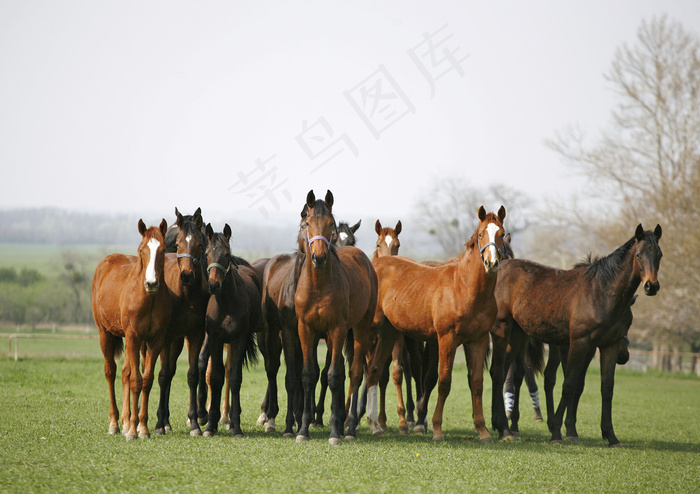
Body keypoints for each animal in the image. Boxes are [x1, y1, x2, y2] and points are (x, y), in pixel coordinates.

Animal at [93, 219, 171, 440]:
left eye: (163, 249)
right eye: (142, 250)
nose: (151, 283)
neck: (147, 298)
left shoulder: (155, 340)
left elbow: (146, 380)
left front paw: (141, 427)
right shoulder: (134, 337)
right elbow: (136, 380)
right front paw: (134, 431)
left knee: (125, 372)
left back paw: (127, 422)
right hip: (105, 334)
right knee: (111, 372)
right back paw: (115, 423)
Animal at [200, 223, 260, 437]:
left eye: (226, 254)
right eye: (207, 253)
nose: (213, 284)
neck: (225, 304)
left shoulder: (238, 339)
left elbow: (234, 379)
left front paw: (236, 426)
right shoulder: (216, 339)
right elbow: (215, 377)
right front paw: (210, 425)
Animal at [294, 190, 378, 445]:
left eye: (330, 224)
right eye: (306, 224)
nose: (319, 257)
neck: (319, 286)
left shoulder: (337, 329)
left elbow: (333, 375)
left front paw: (334, 431)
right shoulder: (306, 329)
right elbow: (309, 374)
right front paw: (303, 429)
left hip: (360, 329)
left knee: (355, 373)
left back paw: (348, 428)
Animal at [365, 206, 507, 442]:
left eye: (502, 234)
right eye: (480, 234)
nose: (491, 263)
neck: (464, 287)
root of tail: (373, 264)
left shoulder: (477, 340)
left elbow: (477, 383)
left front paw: (483, 430)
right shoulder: (447, 338)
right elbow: (444, 381)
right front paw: (437, 429)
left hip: (388, 333)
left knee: (374, 371)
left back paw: (375, 425)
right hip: (368, 331)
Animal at [490, 224, 662, 447]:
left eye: (659, 254)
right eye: (639, 254)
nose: (652, 286)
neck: (602, 291)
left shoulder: (609, 345)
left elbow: (607, 387)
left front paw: (610, 435)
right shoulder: (580, 343)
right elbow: (569, 384)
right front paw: (557, 431)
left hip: (518, 335)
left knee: (502, 373)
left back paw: (501, 426)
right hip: (502, 330)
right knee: (498, 371)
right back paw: (504, 428)